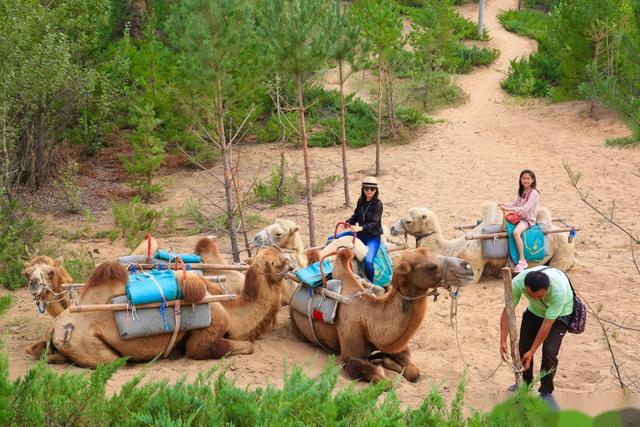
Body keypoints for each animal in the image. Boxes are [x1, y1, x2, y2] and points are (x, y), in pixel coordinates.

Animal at [290, 247, 476, 384]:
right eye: (431, 267)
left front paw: (383, 360)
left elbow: (415, 372)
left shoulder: (397, 345)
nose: (468, 267)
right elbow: (384, 382)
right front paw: (379, 364)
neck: (369, 318)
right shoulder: (349, 356)